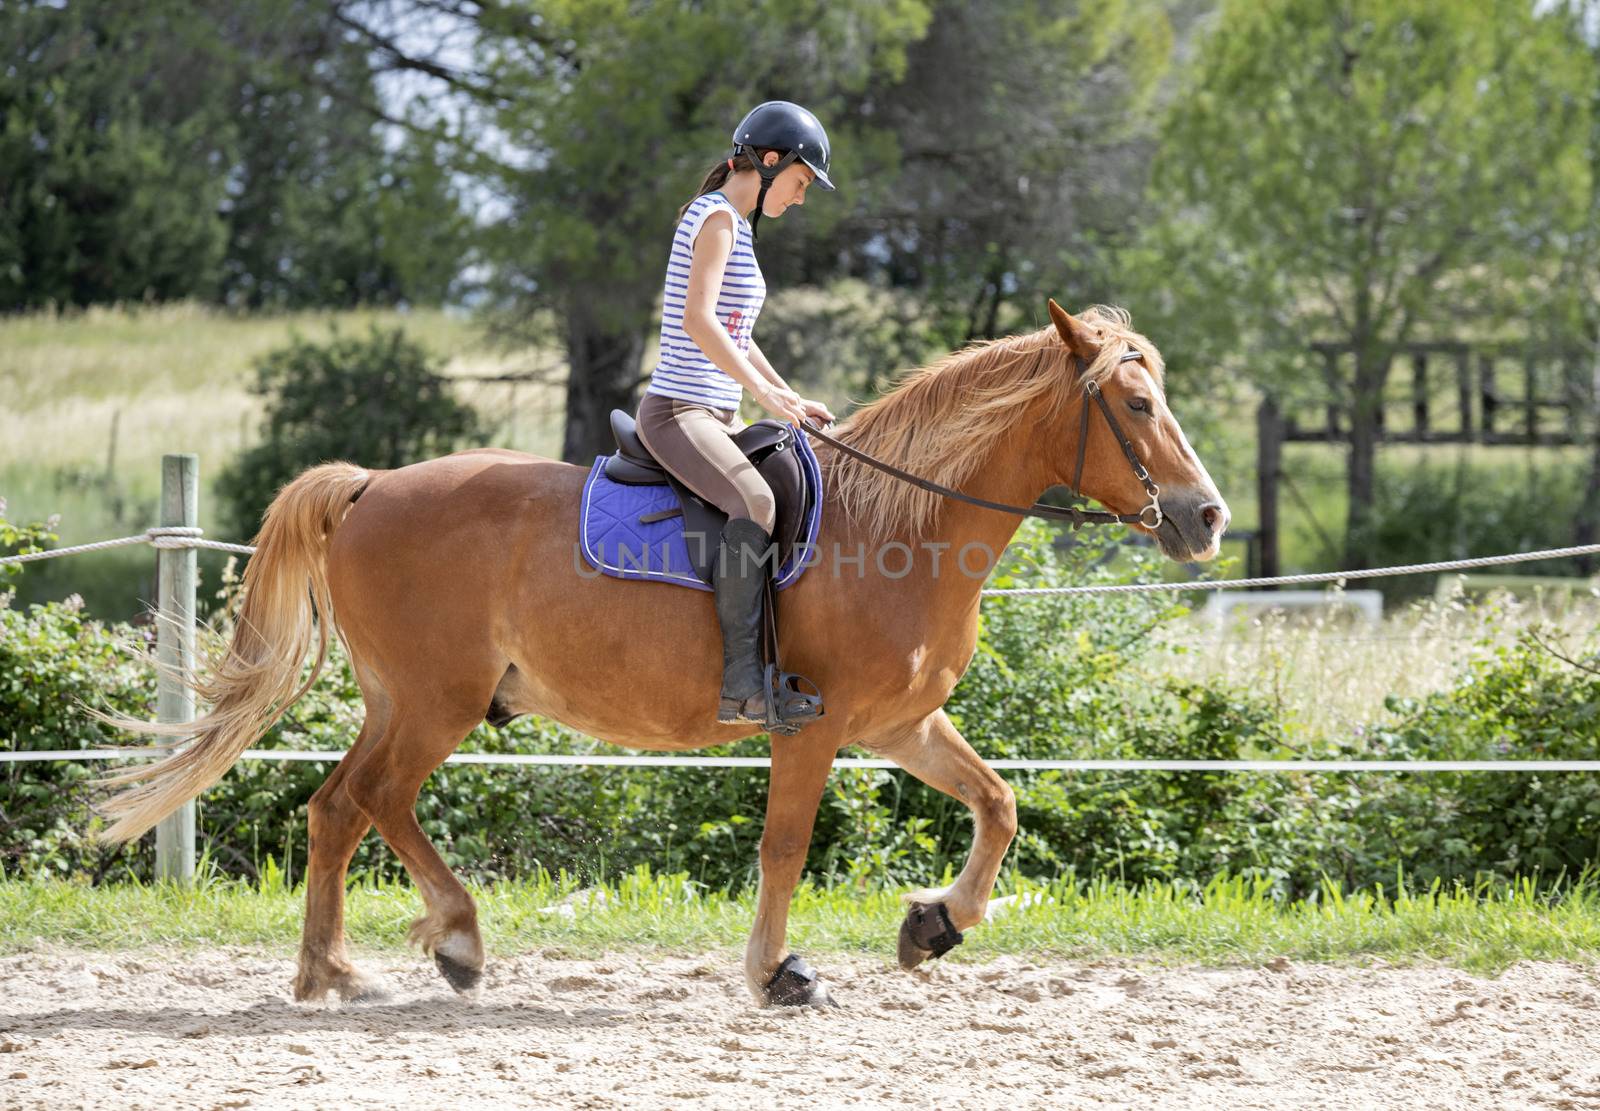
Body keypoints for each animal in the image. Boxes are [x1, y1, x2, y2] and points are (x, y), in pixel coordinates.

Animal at [100, 302, 1222, 1011]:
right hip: (432, 702)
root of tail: (372, 484)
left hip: (404, 702)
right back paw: (429, 942)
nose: (1205, 516)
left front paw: (934, 924)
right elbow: (783, 847)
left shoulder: (903, 723)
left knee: (341, 806)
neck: (897, 526)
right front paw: (775, 973)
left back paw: (345, 967)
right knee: (367, 800)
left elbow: (999, 802)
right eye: (1134, 406)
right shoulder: (812, 729)